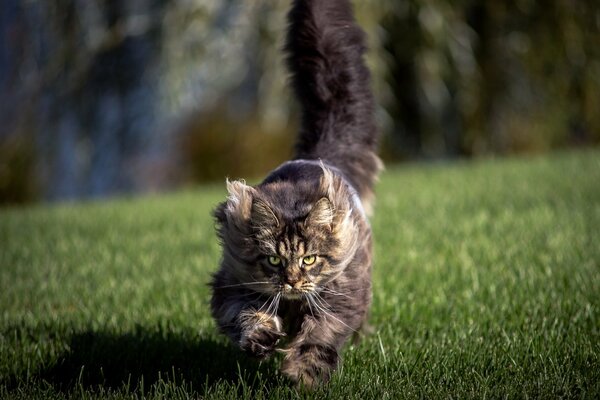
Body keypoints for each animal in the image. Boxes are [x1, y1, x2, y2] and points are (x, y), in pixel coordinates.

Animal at [210, 0, 380, 388]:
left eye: (310, 259)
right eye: (273, 260)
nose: (291, 280)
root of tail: (318, 156)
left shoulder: (340, 298)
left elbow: (320, 336)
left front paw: (302, 374)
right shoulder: (230, 286)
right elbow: (244, 314)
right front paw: (261, 336)